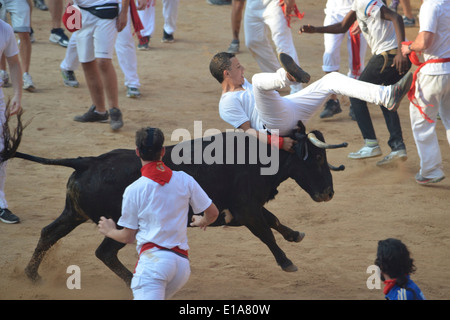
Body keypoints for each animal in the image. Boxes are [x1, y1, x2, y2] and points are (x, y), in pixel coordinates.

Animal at [1, 118, 348, 288]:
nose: (329, 193)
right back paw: (133, 283)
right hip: (120, 223)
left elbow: (274, 221)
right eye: (317, 158)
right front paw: (287, 262)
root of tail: (88, 161)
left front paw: (295, 235)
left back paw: (33, 276)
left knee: (49, 233)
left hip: (73, 213)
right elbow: (266, 232)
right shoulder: (246, 210)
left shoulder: (245, 208)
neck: (258, 157)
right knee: (103, 252)